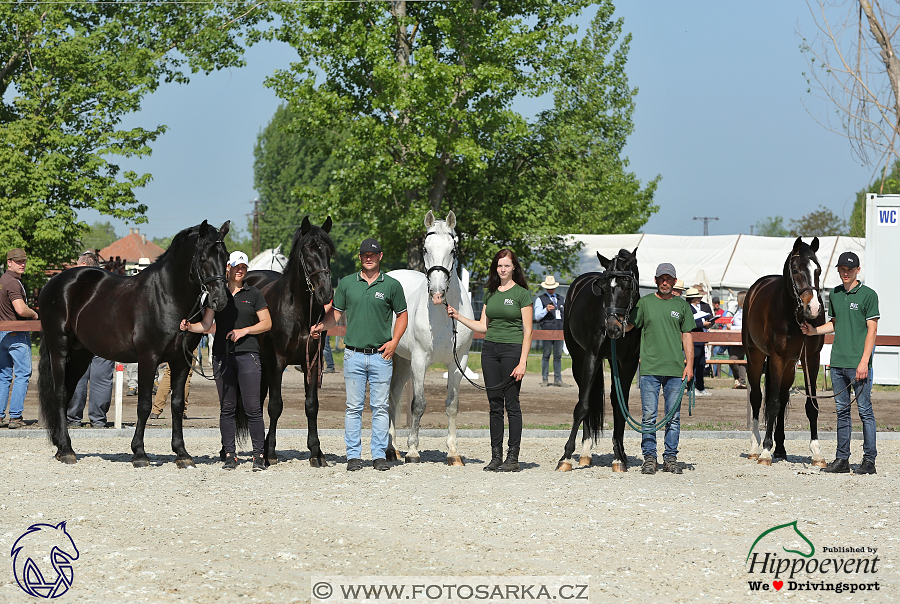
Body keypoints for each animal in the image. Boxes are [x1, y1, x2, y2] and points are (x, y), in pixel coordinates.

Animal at [39, 222, 230, 468]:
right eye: (204, 258)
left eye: (226, 257)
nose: (220, 300)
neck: (167, 296)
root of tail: (53, 283)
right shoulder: (148, 358)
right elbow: (144, 405)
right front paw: (139, 453)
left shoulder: (181, 360)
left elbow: (177, 404)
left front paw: (182, 453)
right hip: (59, 349)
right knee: (61, 394)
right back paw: (67, 451)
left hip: (81, 354)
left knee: (68, 391)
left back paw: (61, 446)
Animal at [243, 217, 334, 468]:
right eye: (307, 251)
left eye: (328, 251)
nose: (325, 293)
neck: (298, 310)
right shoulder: (278, 362)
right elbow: (275, 406)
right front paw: (272, 453)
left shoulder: (312, 362)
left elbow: (311, 405)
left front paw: (316, 452)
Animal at [384, 210, 474, 464]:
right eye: (425, 248)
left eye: (453, 250)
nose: (436, 293)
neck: (443, 316)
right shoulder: (419, 360)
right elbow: (418, 404)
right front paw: (413, 451)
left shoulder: (458, 363)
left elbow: (452, 405)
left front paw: (453, 453)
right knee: (389, 399)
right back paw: (392, 449)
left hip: (403, 362)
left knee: (394, 396)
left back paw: (394, 448)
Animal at [552, 247, 644, 472]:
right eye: (603, 288)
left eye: (627, 286)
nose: (612, 328)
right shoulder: (592, 355)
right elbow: (582, 406)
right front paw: (565, 457)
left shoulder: (627, 362)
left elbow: (620, 406)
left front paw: (619, 457)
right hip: (578, 358)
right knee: (584, 398)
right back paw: (584, 453)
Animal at [740, 236, 828, 468]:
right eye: (796, 270)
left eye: (818, 270)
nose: (813, 308)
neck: (793, 314)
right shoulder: (777, 358)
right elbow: (771, 404)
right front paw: (765, 452)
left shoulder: (810, 359)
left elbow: (811, 405)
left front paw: (817, 453)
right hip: (756, 357)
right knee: (757, 397)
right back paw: (756, 447)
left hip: (789, 365)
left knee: (782, 395)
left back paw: (780, 448)